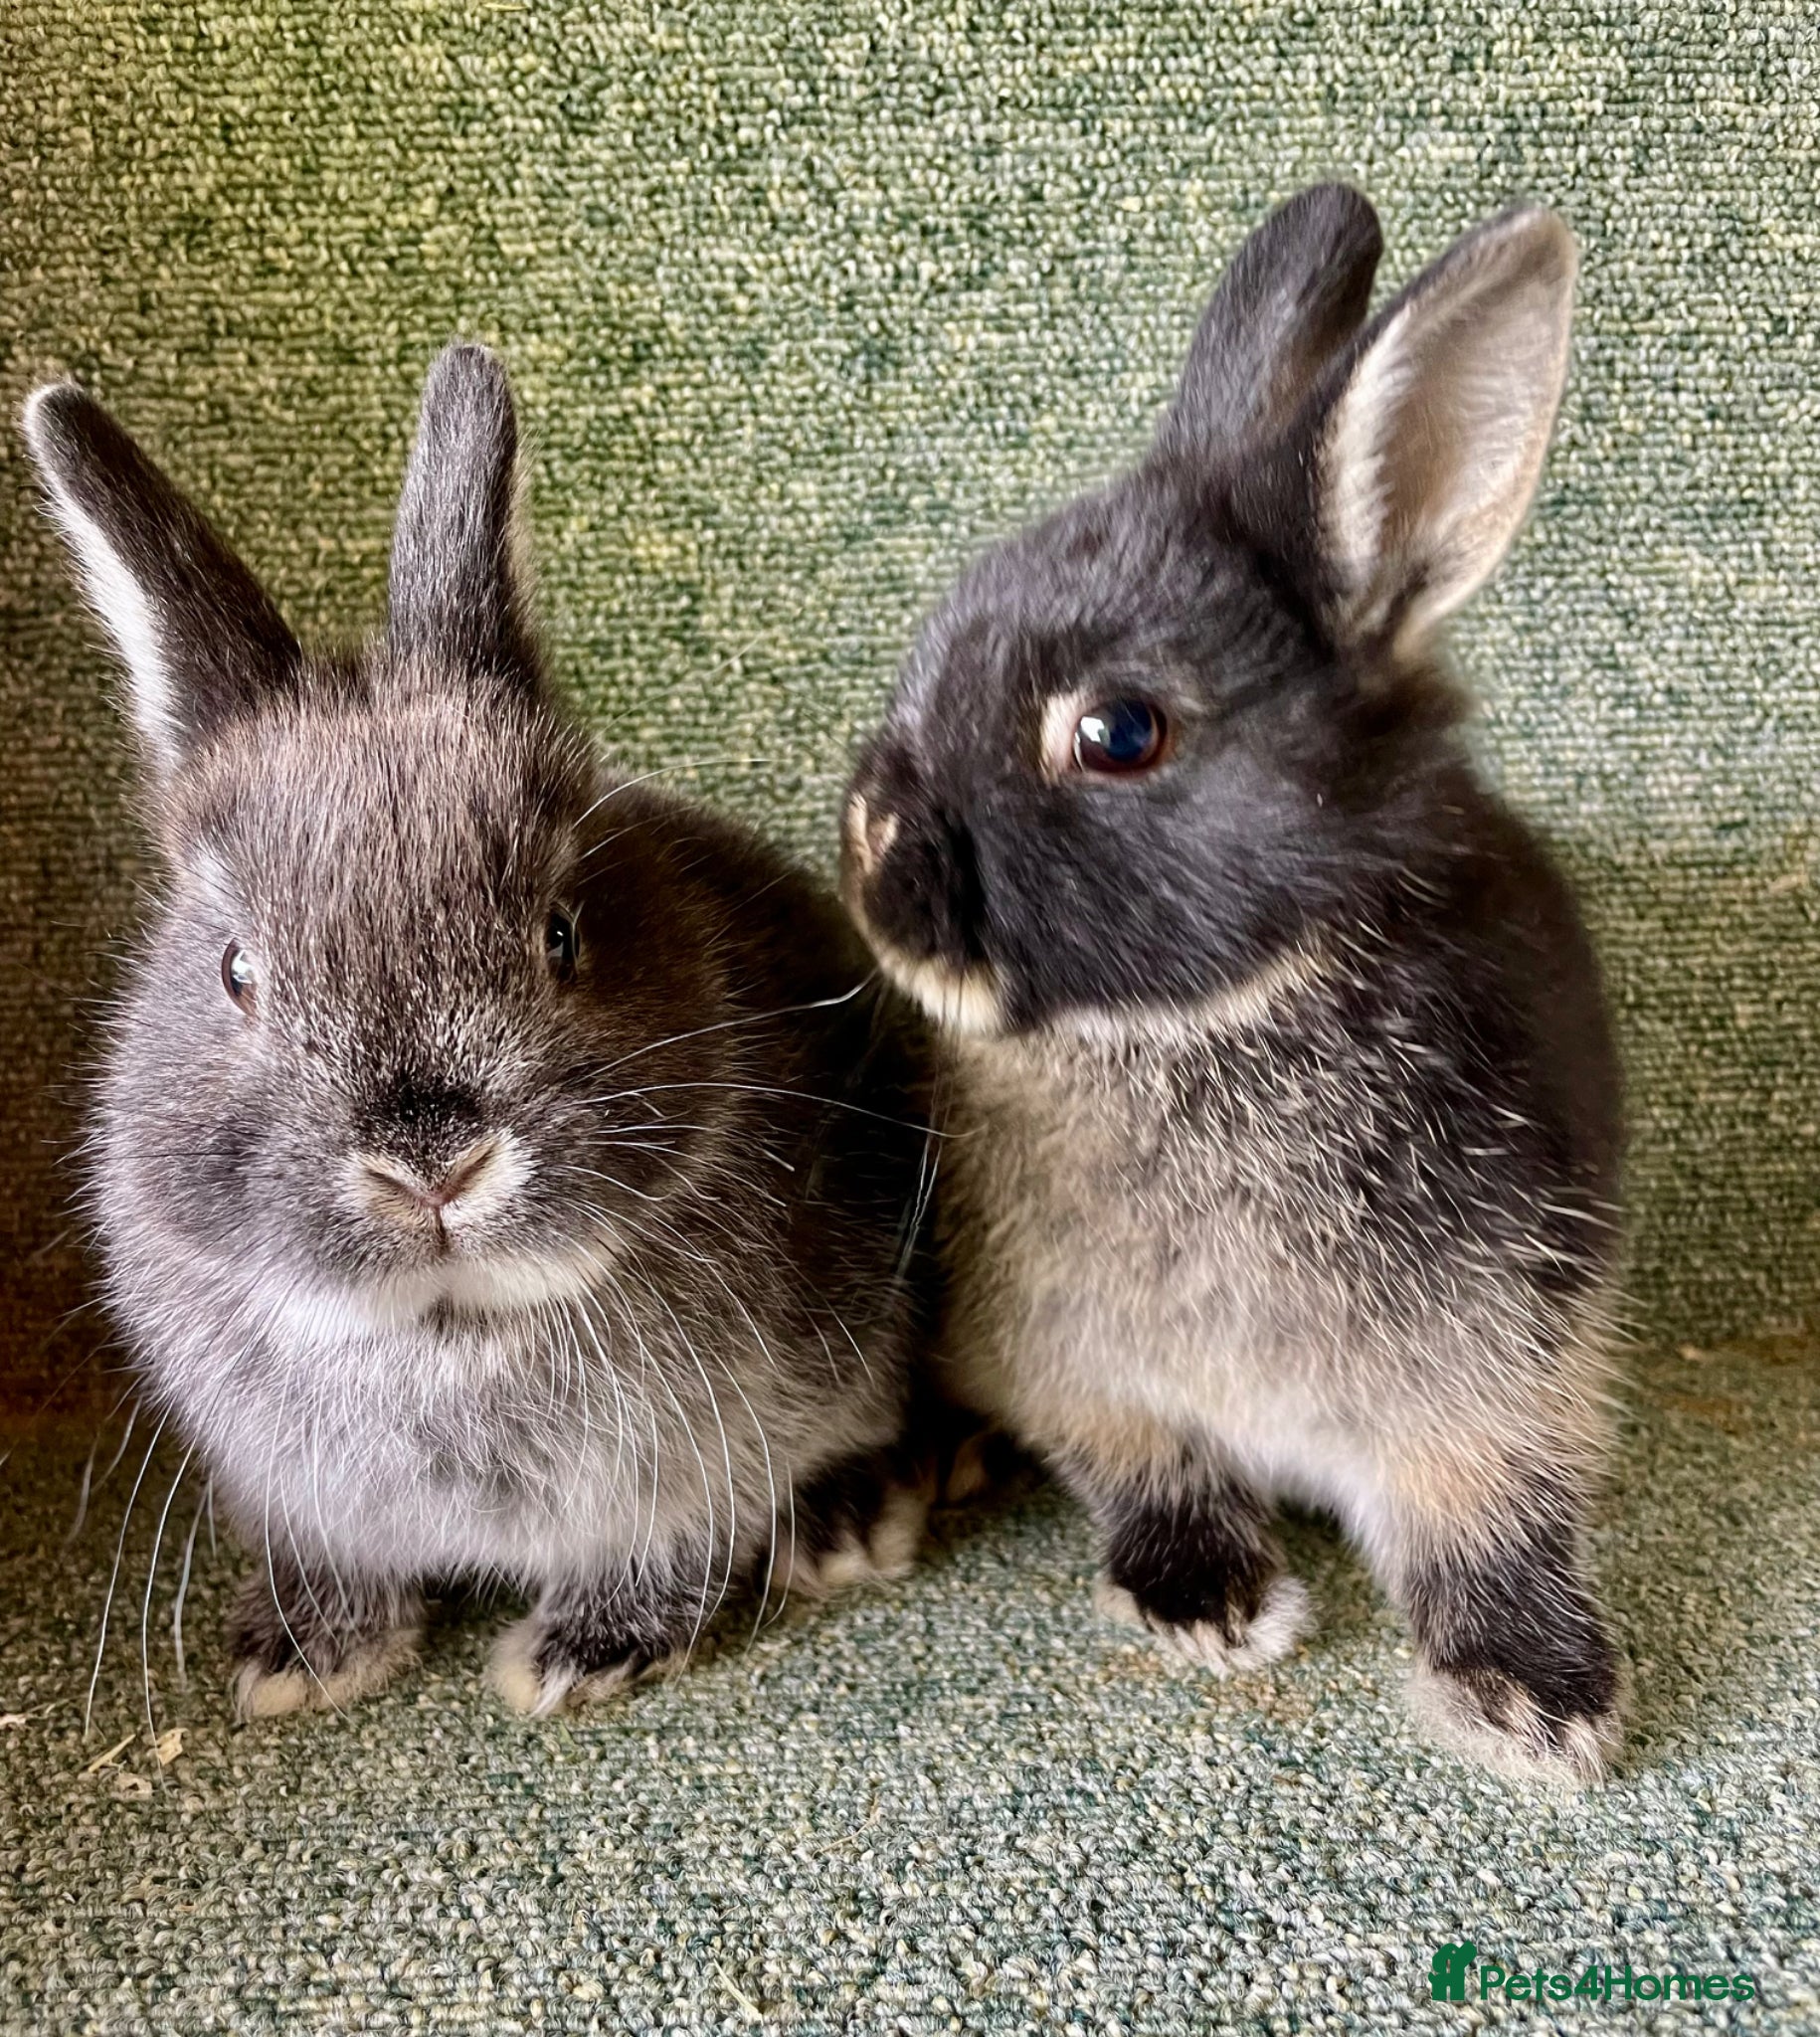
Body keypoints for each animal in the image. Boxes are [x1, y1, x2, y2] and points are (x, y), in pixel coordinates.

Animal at [23, 342, 938, 1721]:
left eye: (562, 932)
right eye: (235, 970)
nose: (431, 1165)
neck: (447, 1336)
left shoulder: (718, 1442)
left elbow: (680, 1538)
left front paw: (581, 1652)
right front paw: (300, 1656)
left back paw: (849, 1525)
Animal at [840, 185, 1626, 1786]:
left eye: (1119, 731)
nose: (868, 840)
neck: (1205, 1026)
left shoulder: (1503, 1359)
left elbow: (1493, 1508)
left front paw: (1540, 1698)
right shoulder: (1086, 1367)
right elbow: (1142, 1466)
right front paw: (1204, 1596)